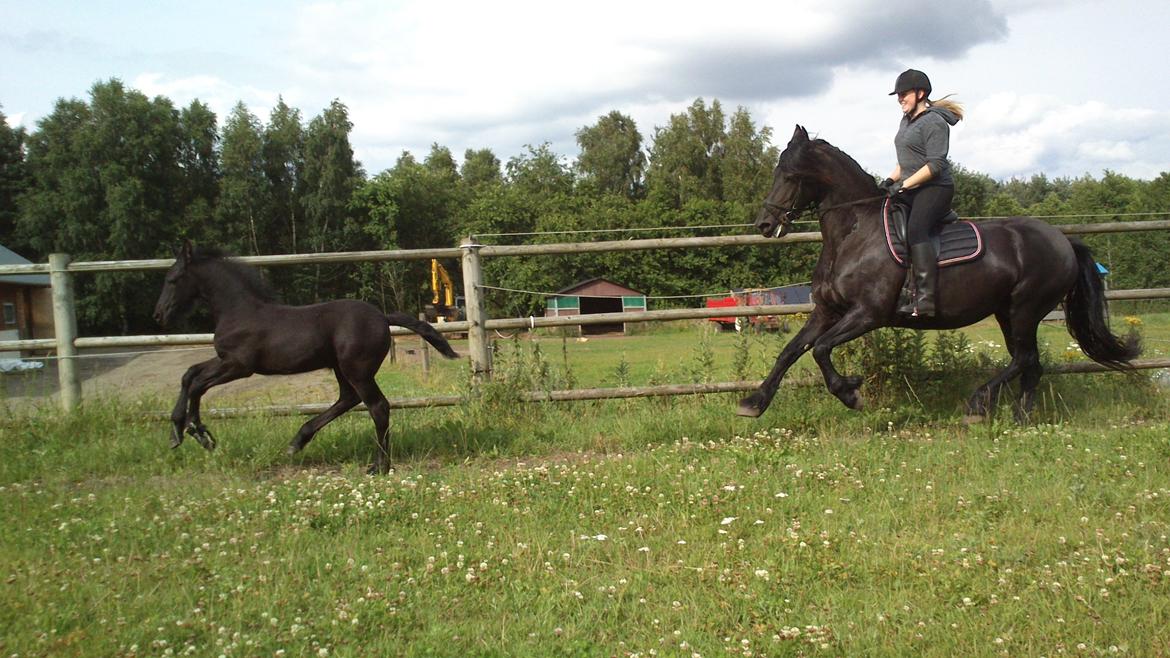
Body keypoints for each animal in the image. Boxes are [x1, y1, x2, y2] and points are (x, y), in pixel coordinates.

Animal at [154, 241, 460, 470]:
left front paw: (190, 431)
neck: (239, 311)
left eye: (173, 279)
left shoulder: (238, 365)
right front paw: (190, 432)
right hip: (341, 368)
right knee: (348, 399)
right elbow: (189, 374)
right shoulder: (224, 360)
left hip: (357, 370)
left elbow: (197, 383)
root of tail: (383, 317)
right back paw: (298, 441)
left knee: (378, 407)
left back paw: (380, 466)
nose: (158, 315)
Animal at [739, 125, 1132, 416]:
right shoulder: (827, 310)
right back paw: (1020, 417)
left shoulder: (868, 314)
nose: (765, 224)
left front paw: (850, 392)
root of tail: (1063, 241)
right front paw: (754, 402)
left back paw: (978, 404)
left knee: (1023, 359)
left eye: (792, 175)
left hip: (1025, 309)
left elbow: (820, 349)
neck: (854, 233)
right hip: (1008, 312)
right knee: (1030, 364)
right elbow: (791, 350)